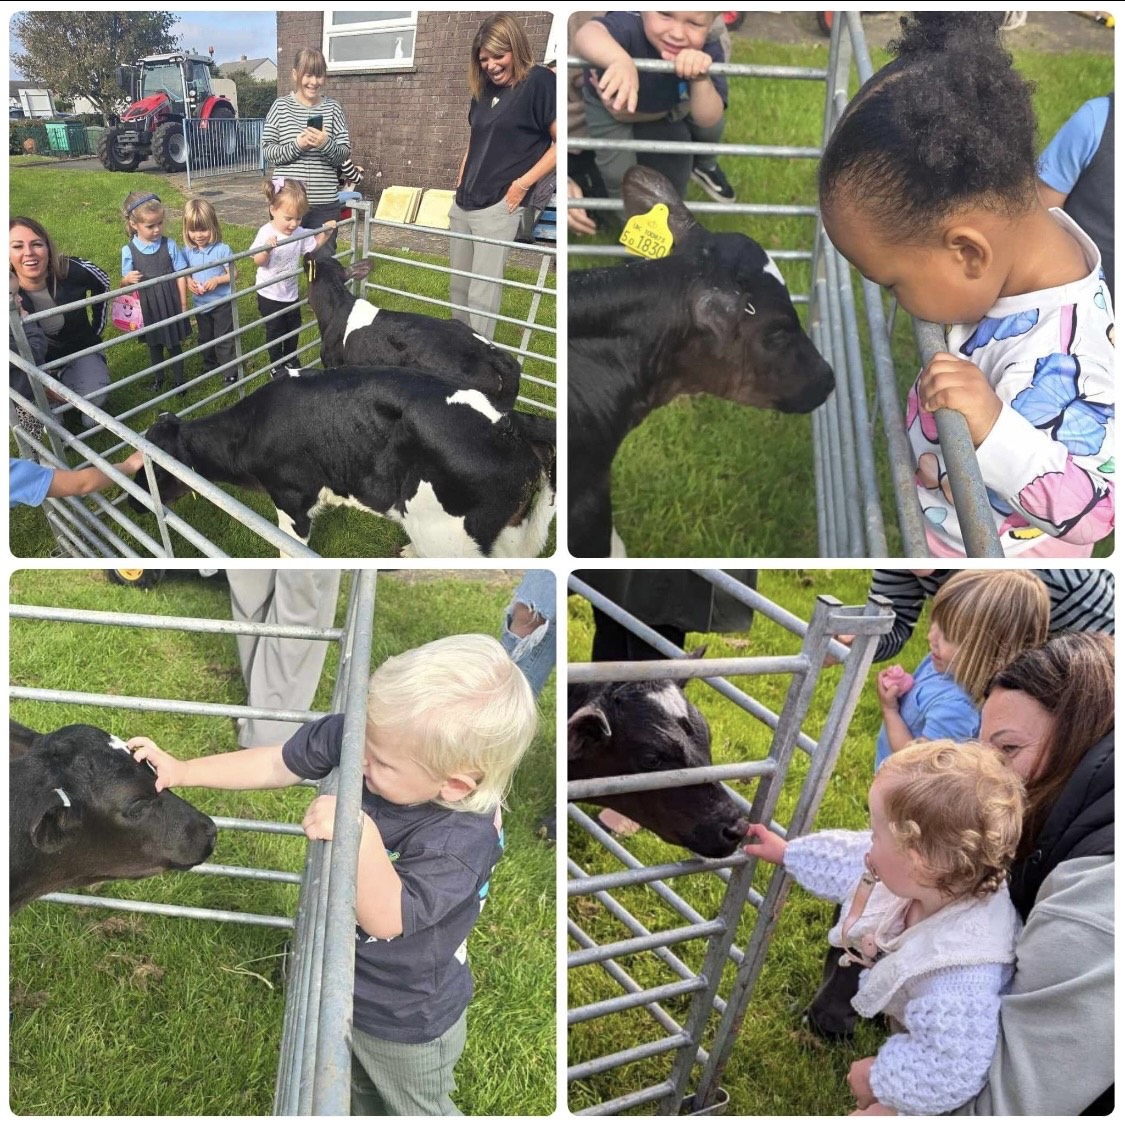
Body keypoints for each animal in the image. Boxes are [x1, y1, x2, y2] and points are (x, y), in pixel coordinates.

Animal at [137, 366, 558, 560]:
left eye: (154, 467)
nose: (135, 503)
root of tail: (509, 423)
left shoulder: (291, 498)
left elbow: (289, 551)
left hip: (449, 535)